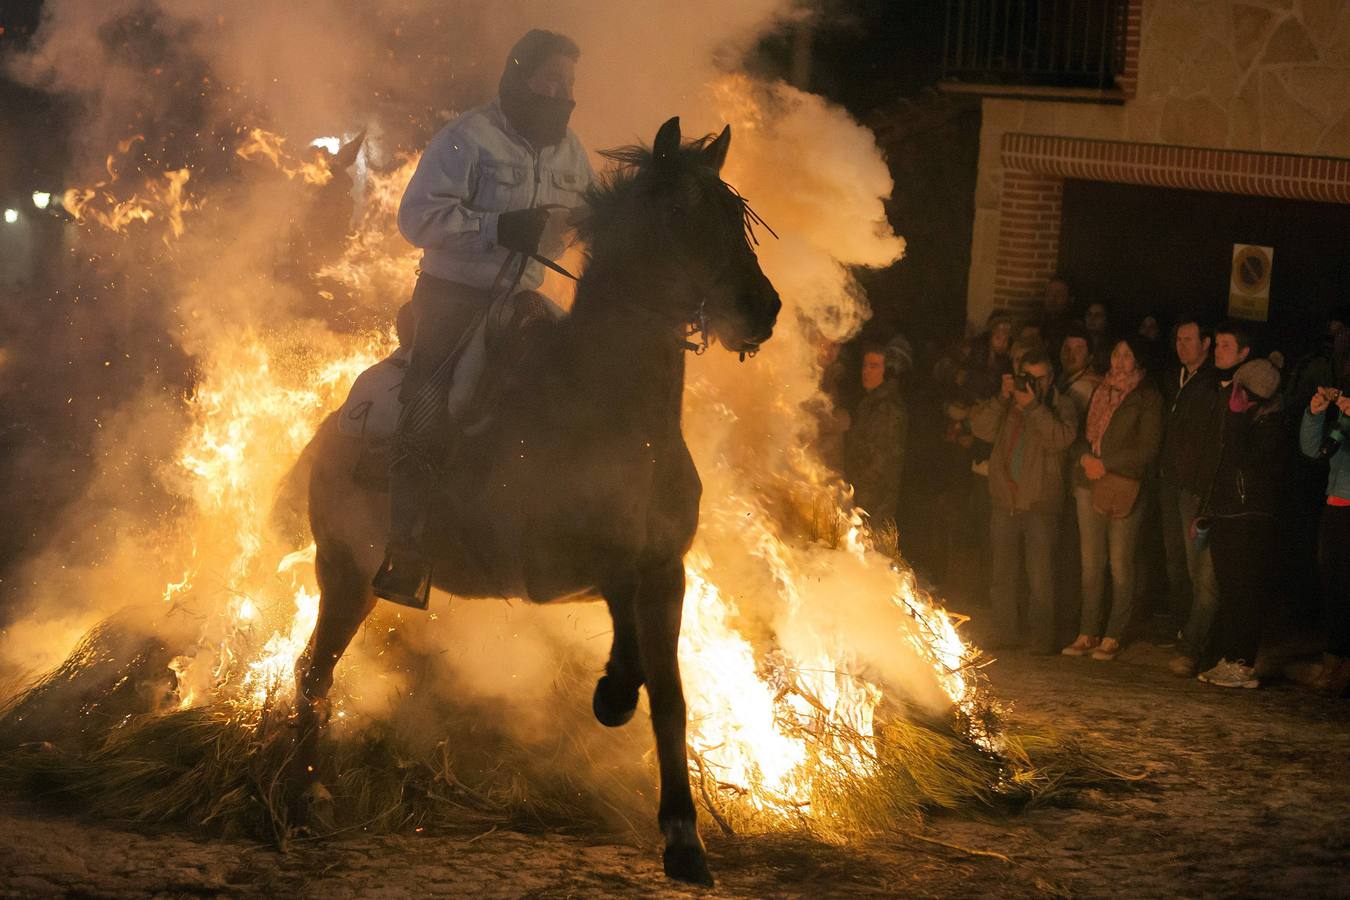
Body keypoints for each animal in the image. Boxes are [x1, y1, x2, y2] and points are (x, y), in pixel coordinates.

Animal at [292, 118, 783, 885]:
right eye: (681, 211)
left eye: (736, 217)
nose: (760, 308)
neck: (610, 414)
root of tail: (328, 434)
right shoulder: (559, 565)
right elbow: (630, 643)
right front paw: (612, 693)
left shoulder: (666, 573)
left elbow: (671, 699)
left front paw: (683, 838)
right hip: (343, 574)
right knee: (313, 672)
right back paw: (301, 799)